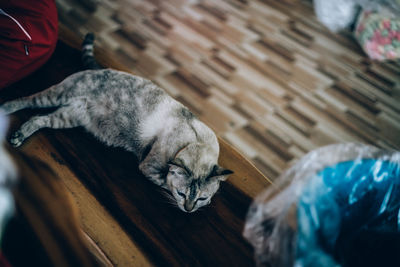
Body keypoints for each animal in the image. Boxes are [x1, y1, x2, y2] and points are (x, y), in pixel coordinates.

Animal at [0, 34, 233, 214]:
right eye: (181, 193)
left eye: (201, 198)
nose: (189, 210)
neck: (195, 142)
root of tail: (103, 69)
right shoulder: (148, 167)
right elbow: (165, 180)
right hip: (56, 95)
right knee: (26, 100)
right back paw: (7, 112)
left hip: (67, 117)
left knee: (37, 118)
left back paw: (19, 136)